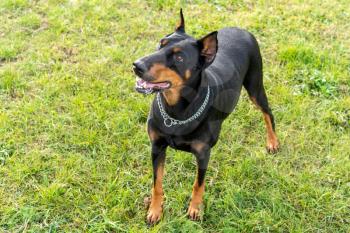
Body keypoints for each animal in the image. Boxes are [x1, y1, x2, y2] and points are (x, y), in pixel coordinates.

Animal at [133, 9, 280, 224]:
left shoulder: (203, 154)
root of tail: (240, 29)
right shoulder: (157, 147)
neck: (176, 112)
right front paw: (155, 211)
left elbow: (198, 184)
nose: (137, 65)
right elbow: (157, 184)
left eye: (179, 58)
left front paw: (195, 209)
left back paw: (273, 142)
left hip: (255, 85)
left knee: (268, 113)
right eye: (160, 43)